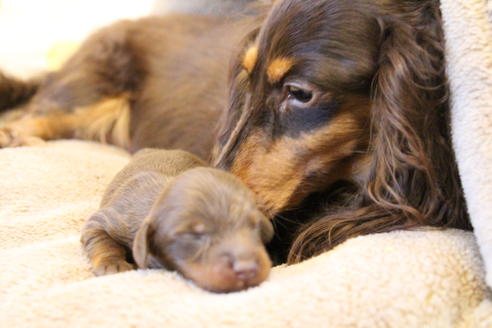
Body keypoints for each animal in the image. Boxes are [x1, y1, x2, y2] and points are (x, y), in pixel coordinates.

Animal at [80, 149, 272, 292]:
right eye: (193, 235)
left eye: (254, 226)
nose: (247, 268)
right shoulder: (112, 219)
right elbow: (100, 237)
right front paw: (113, 263)